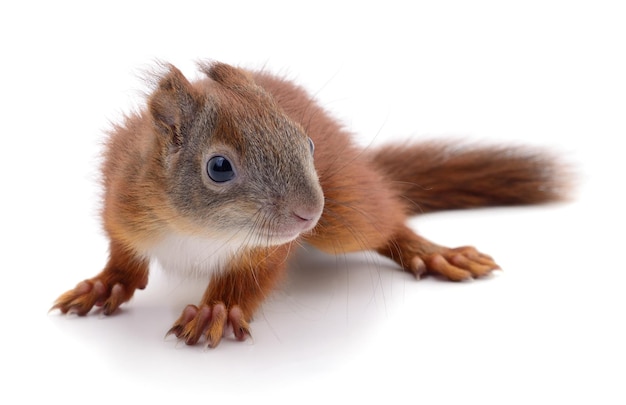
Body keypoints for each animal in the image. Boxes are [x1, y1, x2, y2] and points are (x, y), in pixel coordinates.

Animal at [51, 61, 568, 346]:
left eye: (309, 145)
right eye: (218, 167)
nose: (308, 214)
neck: (198, 230)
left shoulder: (268, 247)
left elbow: (249, 278)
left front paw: (218, 309)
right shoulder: (123, 206)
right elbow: (124, 257)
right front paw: (104, 284)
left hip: (346, 215)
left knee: (386, 221)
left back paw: (433, 252)